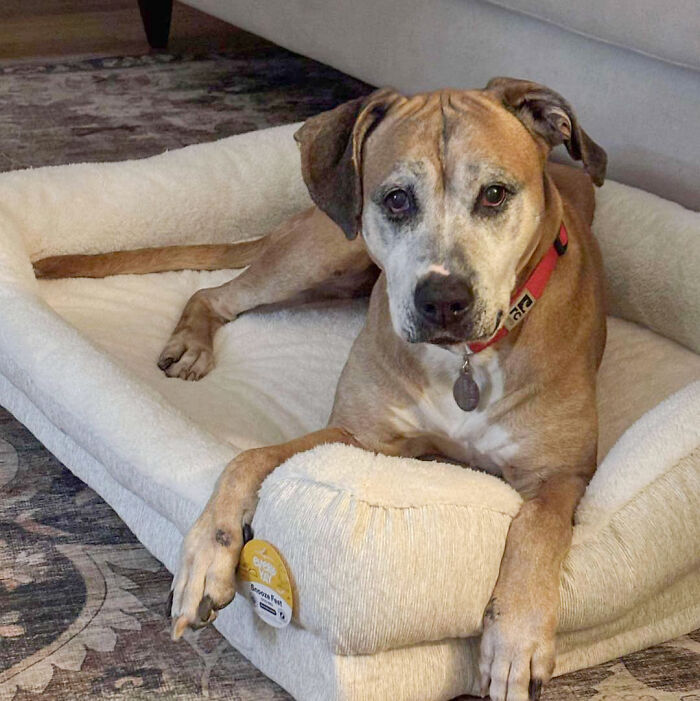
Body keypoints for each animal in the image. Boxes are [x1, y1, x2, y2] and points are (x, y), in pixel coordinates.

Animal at [35, 76, 608, 700]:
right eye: (396, 199)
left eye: (495, 194)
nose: (443, 301)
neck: (461, 362)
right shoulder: (357, 436)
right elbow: (248, 457)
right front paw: (205, 560)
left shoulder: (561, 475)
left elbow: (535, 530)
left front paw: (515, 645)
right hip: (324, 253)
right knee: (213, 294)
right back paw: (192, 342)